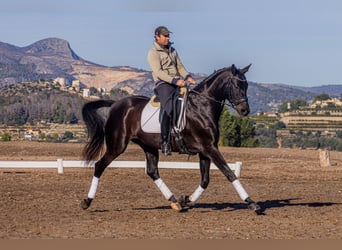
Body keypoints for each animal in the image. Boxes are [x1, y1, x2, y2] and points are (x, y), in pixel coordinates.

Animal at [81, 64, 260, 213]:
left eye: (246, 85)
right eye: (236, 85)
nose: (244, 110)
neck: (202, 106)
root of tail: (115, 104)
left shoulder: (205, 150)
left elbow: (205, 180)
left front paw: (186, 199)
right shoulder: (209, 148)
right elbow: (229, 173)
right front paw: (251, 203)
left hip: (149, 146)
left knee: (152, 171)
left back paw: (174, 201)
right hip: (117, 145)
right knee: (99, 166)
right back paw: (87, 201)